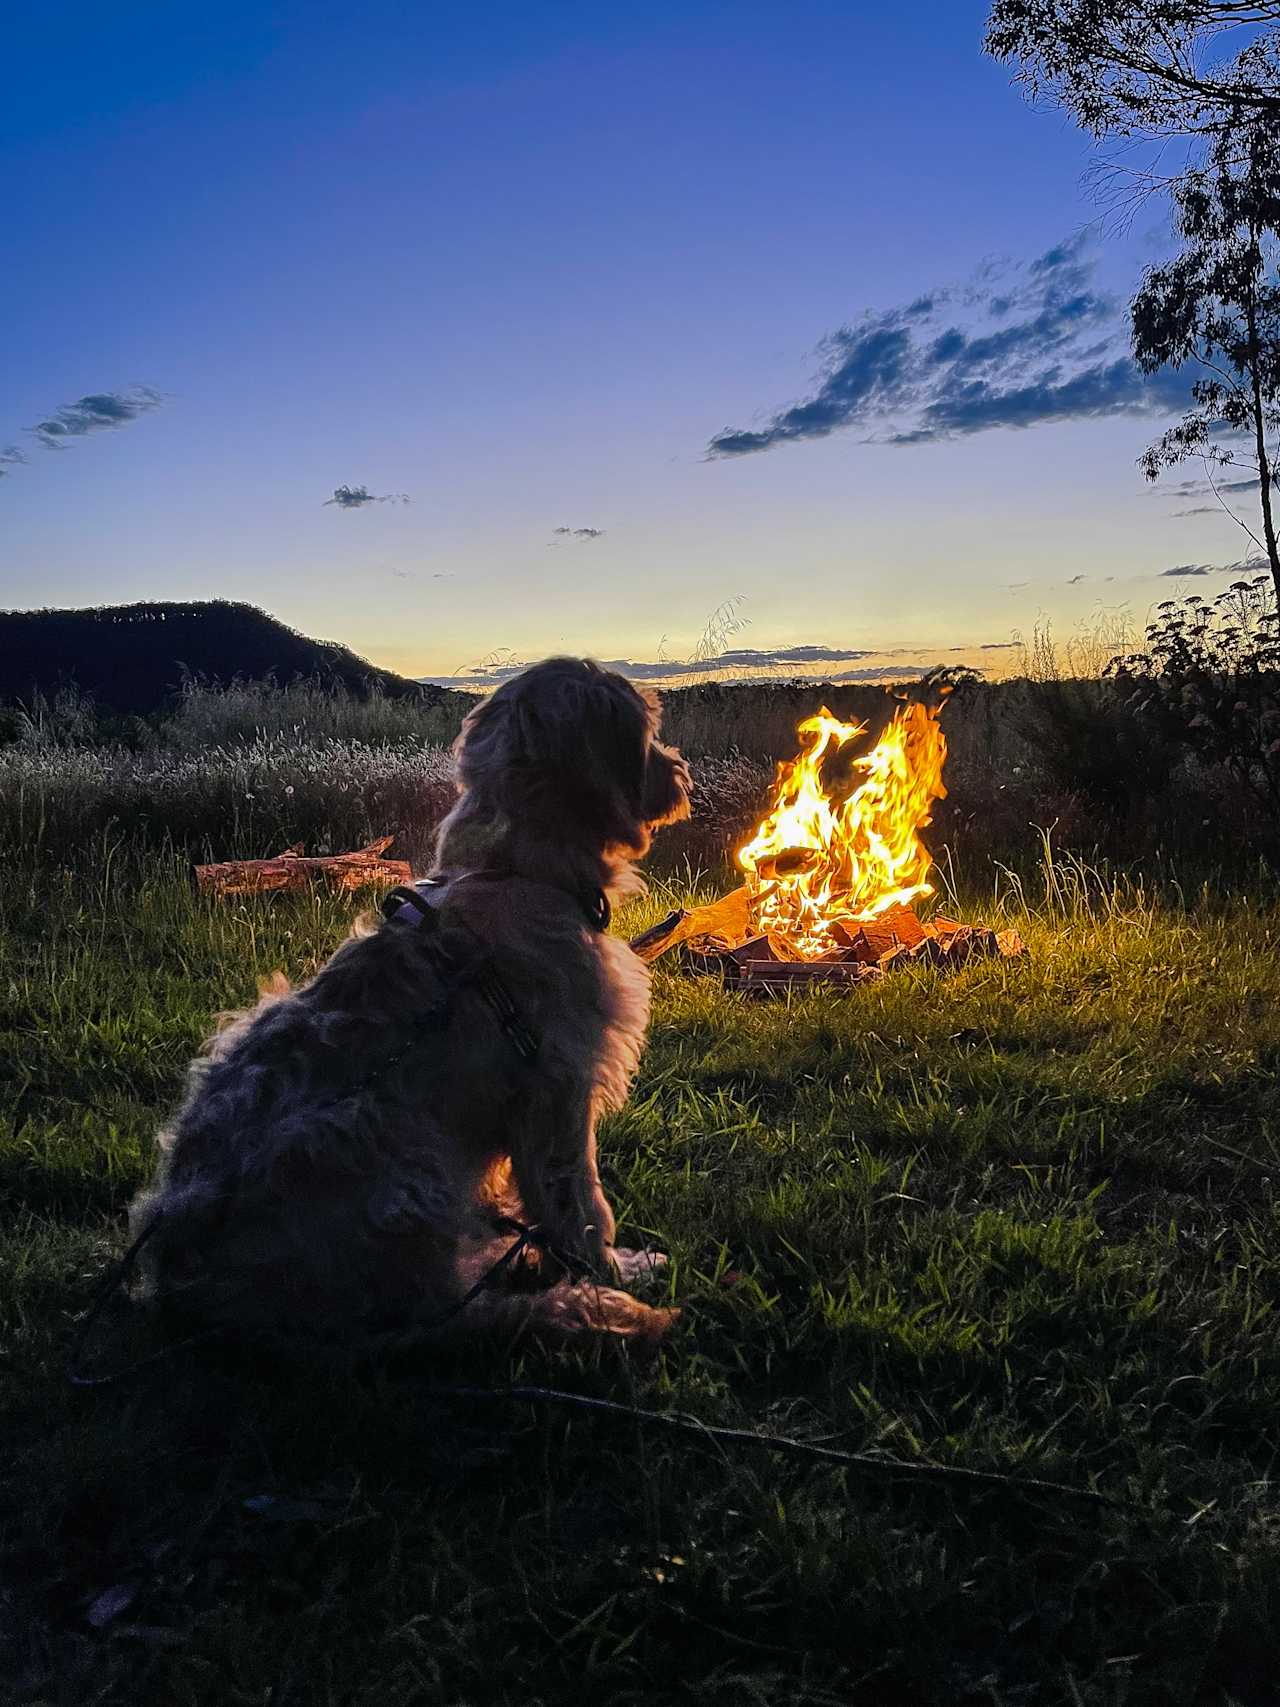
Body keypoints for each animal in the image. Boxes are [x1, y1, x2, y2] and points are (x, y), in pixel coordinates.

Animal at [128, 658, 692, 1351]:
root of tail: (187, 1292)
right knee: (448, 1312)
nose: (680, 770)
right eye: (648, 731)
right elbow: (579, 1207)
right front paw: (613, 1270)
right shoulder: (558, 1089)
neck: (518, 871)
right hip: (389, 1150)